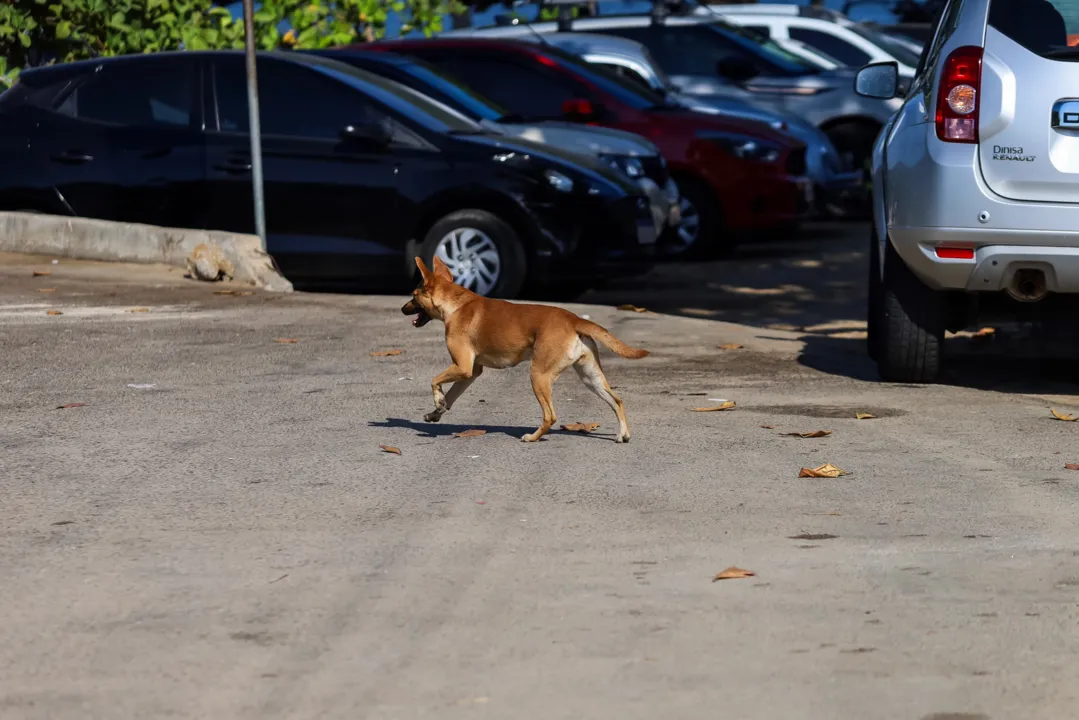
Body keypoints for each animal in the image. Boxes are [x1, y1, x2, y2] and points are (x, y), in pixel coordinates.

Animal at [399, 255, 643, 442]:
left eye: (413, 296)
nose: (402, 309)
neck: (457, 304)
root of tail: (574, 319)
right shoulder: (471, 372)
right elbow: (450, 396)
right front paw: (437, 411)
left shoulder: (463, 367)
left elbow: (434, 381)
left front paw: (437, 401)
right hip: (590, 377)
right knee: (617, 401)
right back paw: (623, 434)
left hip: (539, 375)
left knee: (550, 416)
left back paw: (532, 437)